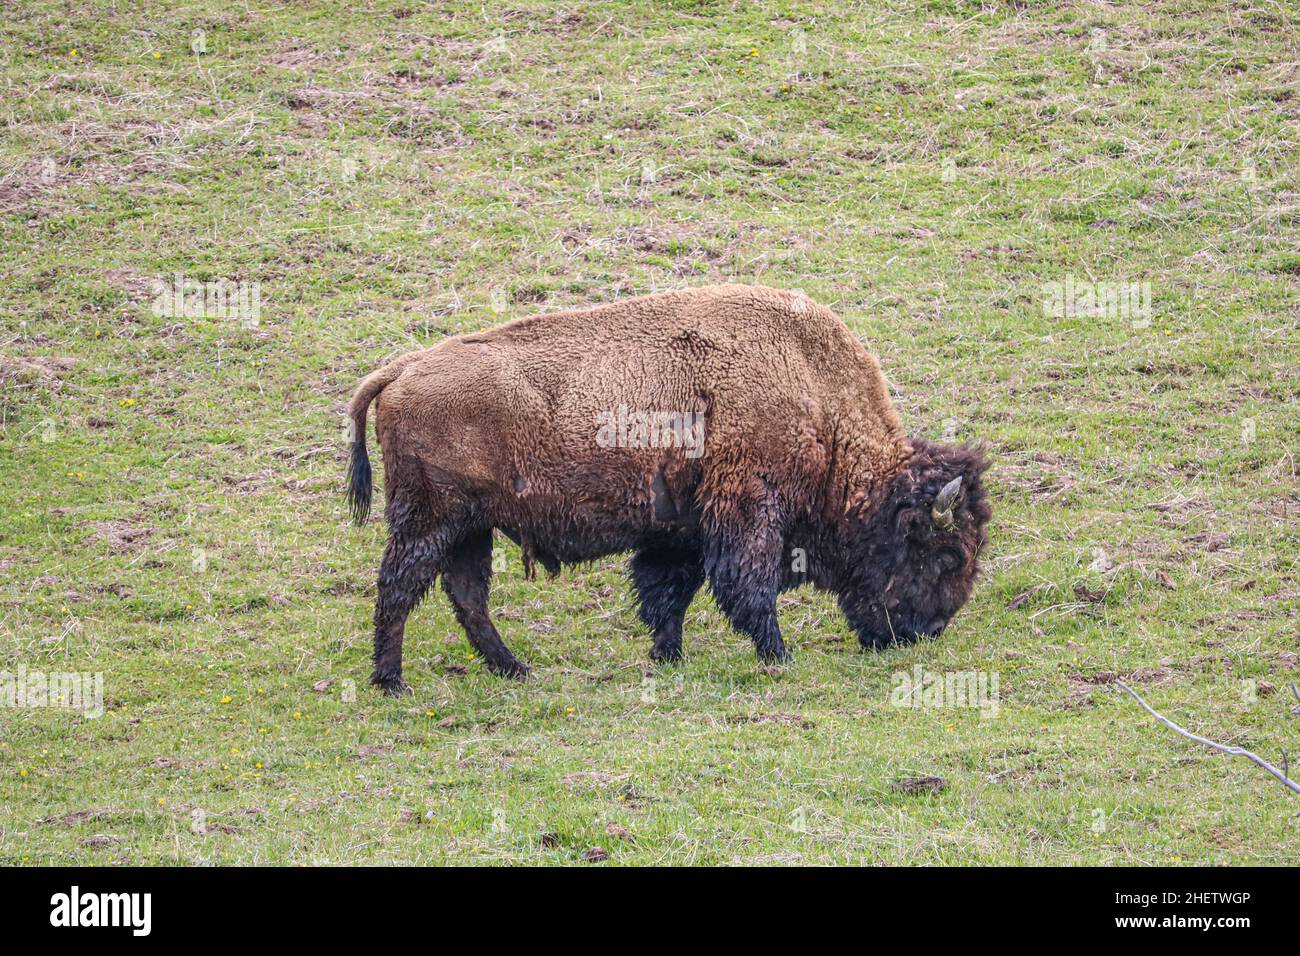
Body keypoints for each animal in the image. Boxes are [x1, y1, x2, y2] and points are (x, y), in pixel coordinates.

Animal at [345, 283, 982, 697]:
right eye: (945, 555)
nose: (928, 632)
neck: (813, 394)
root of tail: (402, 369)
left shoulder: (681, 529)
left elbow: (668, 592)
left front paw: (667, 655)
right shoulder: (749, 511)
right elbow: (746, 586)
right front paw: (778, 654)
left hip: (469, 528)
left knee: (465, 595)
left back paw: (515, 670)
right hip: (431, 520)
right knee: (400, 588)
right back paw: (393, 683)